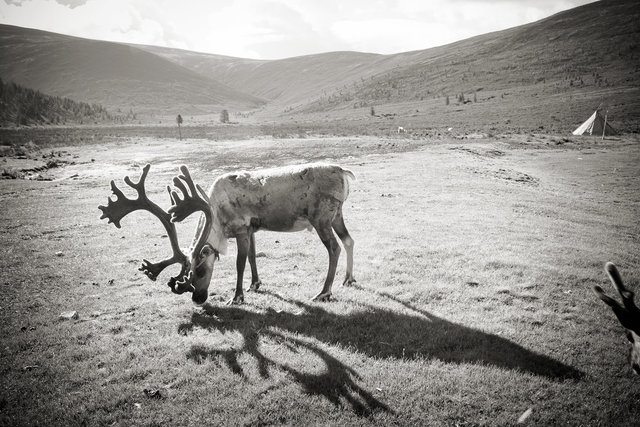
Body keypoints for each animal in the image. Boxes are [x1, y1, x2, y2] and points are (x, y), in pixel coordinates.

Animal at [98, 163, 356, 305]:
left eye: (200, 270)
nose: (198, 299)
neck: (217, 215)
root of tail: (343, 171)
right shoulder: (252, 229)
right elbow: (252, 257)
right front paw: (255, 285)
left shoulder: (241, 228)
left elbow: (239, 263)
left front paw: (237, 297)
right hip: (337, 215)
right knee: (349, 240)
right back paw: (348, 279)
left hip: (321, 218)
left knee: (334, 247)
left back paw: (324, 292)